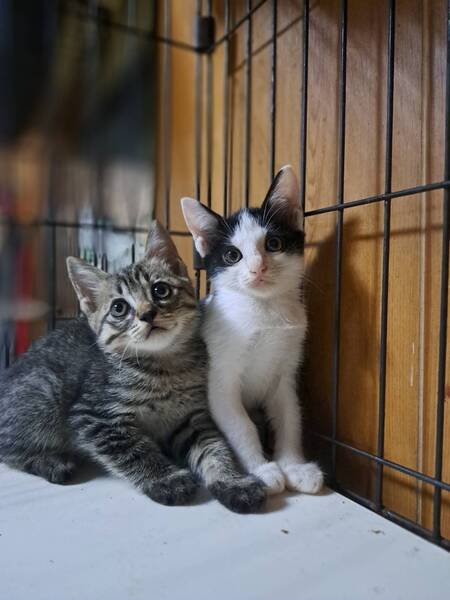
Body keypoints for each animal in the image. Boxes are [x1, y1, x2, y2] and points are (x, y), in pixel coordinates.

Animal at [0, 221, 267, 513]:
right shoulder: (94, 415)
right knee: (8, 446)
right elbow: (135, 449)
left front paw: (233, 481)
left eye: (160, 290)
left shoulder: (191, 417)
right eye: (119, 307)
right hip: (44, 394)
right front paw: (166, 479)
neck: (165, 369)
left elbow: (214, 447)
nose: (147, 314)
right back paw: (51, 461)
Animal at [181, 165, 323, 495]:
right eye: (232, 255)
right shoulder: (220, 380)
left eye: (274, 244)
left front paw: (294, 466)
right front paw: (262, 470)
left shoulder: (286, 372)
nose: (258, 268)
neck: (263, 311)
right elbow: (241, 425)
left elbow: (290, 417)